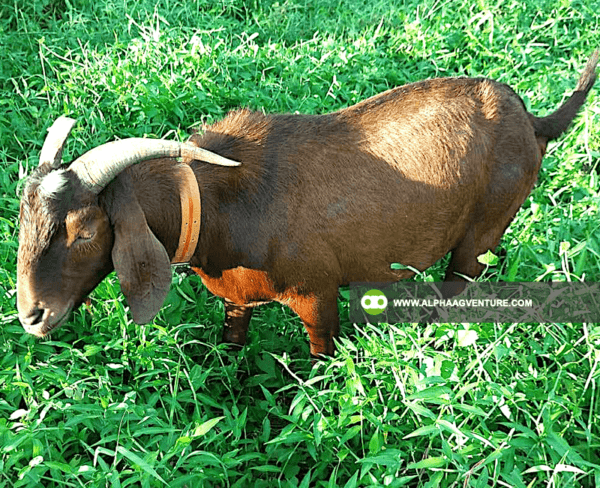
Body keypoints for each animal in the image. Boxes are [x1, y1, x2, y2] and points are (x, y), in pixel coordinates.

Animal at [16, 52, 596, 358]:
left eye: (86, 230)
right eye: (22, 218)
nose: (31, 316)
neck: (221, 206)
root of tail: (532, 119)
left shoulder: (316, 294)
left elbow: (321, 358)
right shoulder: (237, 296)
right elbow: (234, 344)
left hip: (480, 234)